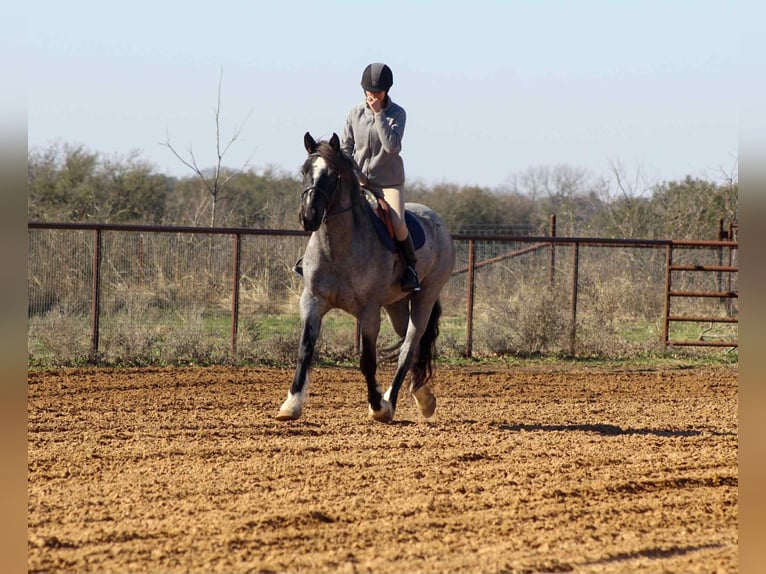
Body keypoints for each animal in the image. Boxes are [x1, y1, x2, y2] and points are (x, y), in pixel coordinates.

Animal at [276, 132, 456, 423]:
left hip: (425, 298)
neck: (337, 249)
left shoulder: (369, 311)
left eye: (333, 175)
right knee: (413, 345)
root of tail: (436, 220)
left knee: (409, 347)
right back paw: (423, 397)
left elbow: (368, 360)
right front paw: (291, 404)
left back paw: (391, 402)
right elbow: (305, 351)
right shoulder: (312, 302)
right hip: (397, 305)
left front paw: (377, 406)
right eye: (304, 171)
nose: (309, 216)